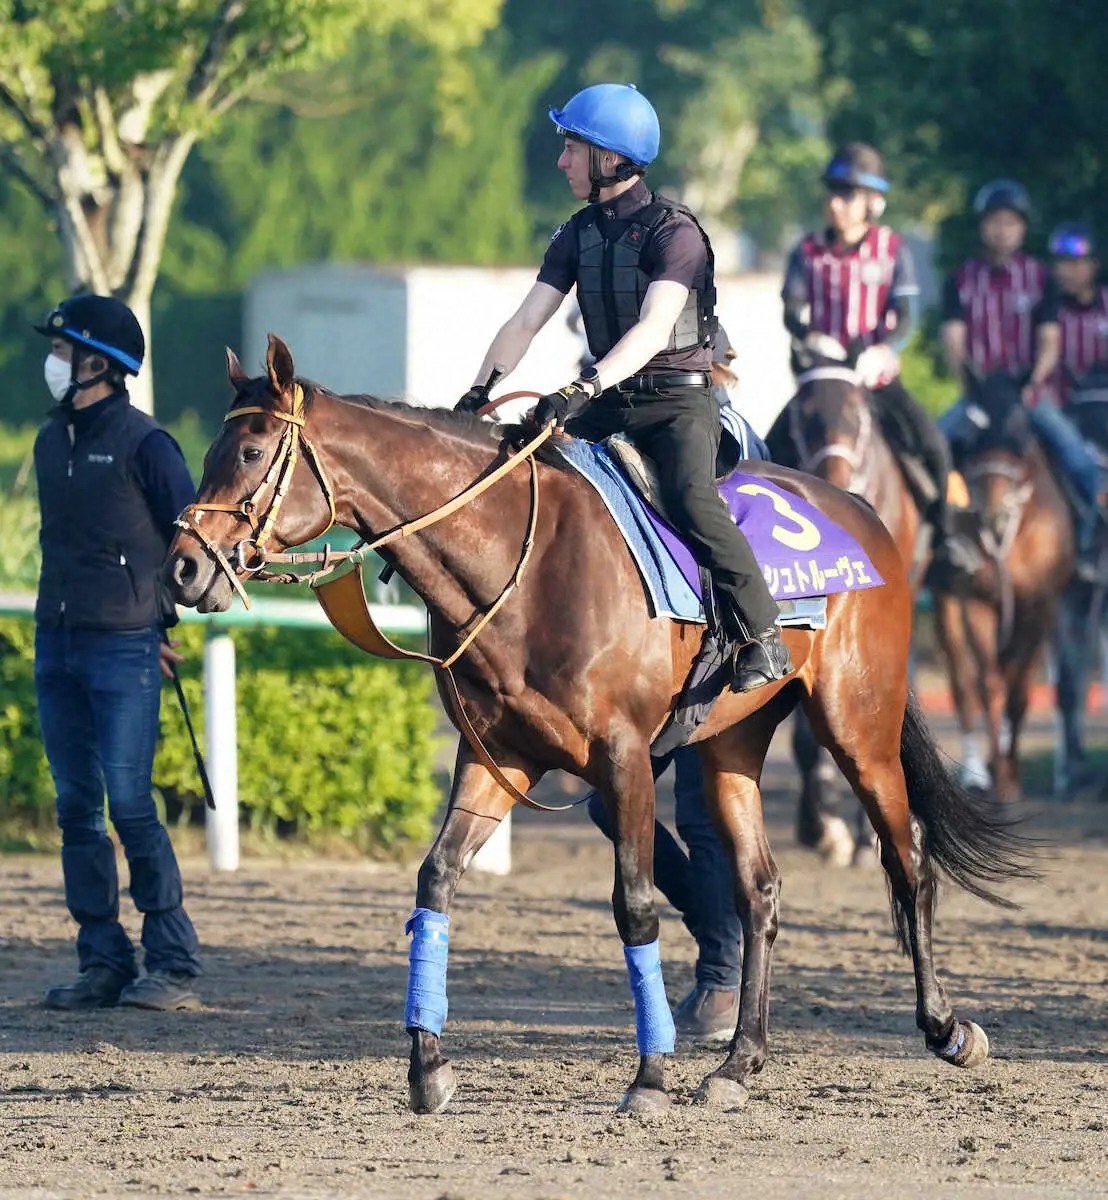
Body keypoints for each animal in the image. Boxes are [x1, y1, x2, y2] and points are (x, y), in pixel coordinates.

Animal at [936, 372, 1075, 806]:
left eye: (1020, 430)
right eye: (972, 431)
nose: (993, 515)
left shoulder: (1040, 606)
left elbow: (1018, 690)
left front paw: (1010, 776)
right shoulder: (976, 602)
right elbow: (989, 684)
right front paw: (999, 777)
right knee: (963, 686)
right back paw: (976, 772)